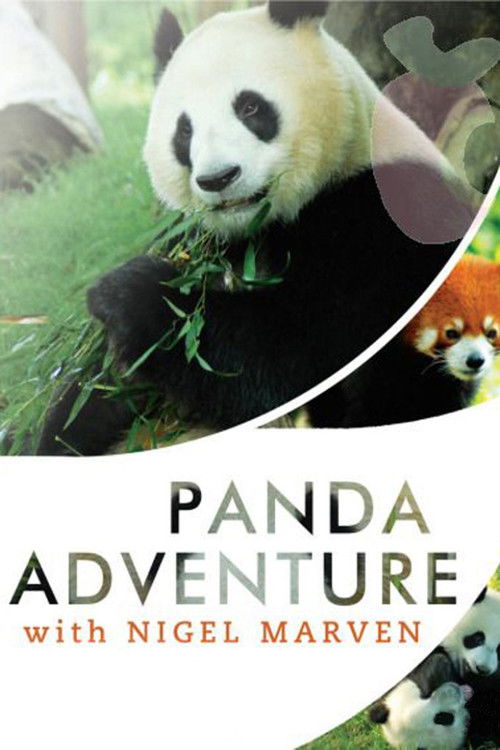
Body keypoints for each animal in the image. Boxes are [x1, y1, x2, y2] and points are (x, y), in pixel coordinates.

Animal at [36, 1, 474, 455]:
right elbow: (96, 392)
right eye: (184, 130)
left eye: (249, 108)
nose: (218, 178)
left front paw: (132, 294)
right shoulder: (198, 238)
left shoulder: (381, 224)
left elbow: (293, 355)